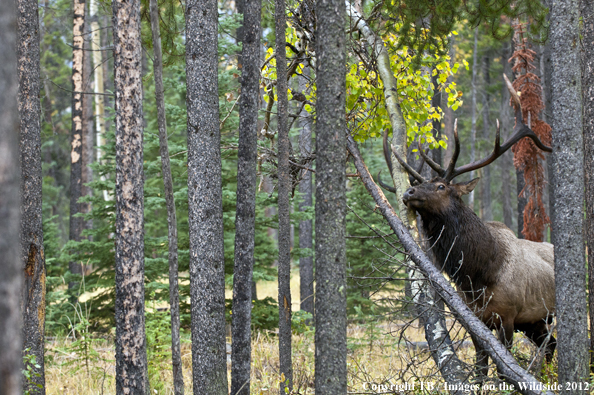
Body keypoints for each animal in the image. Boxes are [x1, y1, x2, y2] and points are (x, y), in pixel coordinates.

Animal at [382, 75, 552, 378]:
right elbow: (480, 367)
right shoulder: (475, 320)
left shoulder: (509, 316)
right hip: (535, 321)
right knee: (550, 346)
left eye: (441, 186)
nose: (409, 192)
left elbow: (504, 369)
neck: (479, 274)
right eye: (423, 182)